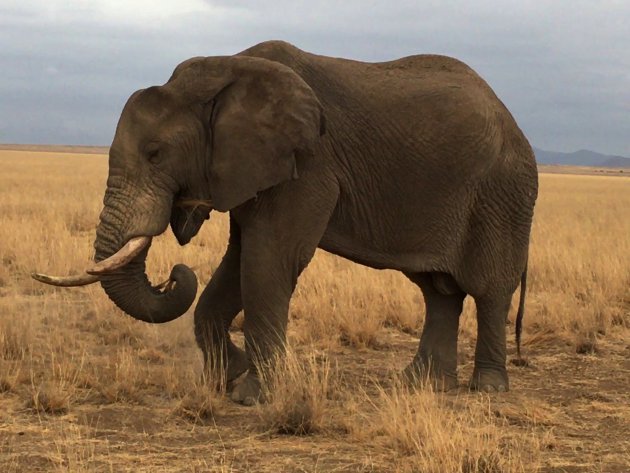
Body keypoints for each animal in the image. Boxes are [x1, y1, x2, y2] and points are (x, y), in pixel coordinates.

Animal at [33, 40, 540, 404]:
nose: (172, 274)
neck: (226, 70)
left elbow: (269, 259)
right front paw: (229, 377)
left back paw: (487, 388)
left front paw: (251, 397)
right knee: (438, 290)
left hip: (503, 194)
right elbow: (238, 263)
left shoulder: (307, 164)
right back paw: (420, 385)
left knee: (488, 290)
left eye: (156, 154)